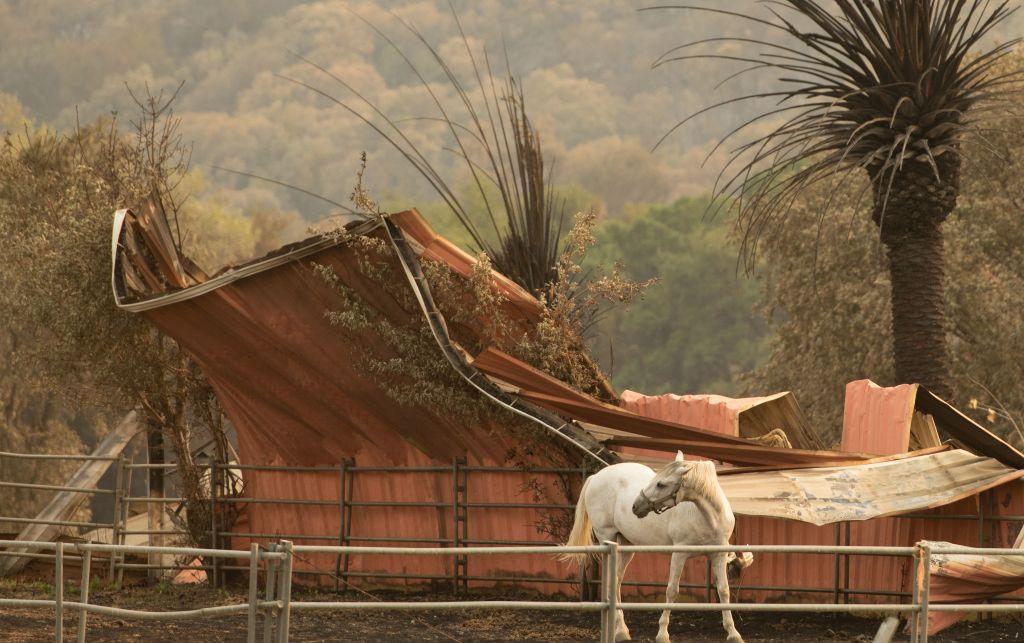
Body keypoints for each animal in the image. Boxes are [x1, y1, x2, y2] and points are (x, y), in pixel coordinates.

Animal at [565, 452, 749, 643]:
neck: (709, 516)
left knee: (616, 581)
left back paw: (622, 631)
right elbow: (672, 591)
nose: (635, 506)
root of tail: (595, 477)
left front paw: (734, 634)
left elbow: (724, 591)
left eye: (661, 484)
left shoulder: (718, 555)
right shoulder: (679, 554)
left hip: (626, 546)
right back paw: (620, 630)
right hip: (606, 540)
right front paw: (662, 634)